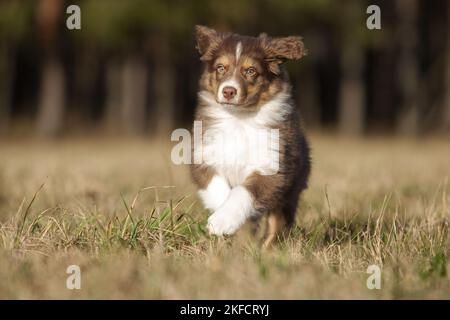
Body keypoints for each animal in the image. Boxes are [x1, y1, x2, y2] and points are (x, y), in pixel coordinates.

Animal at [189, 25, 310, 248]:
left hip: (291, 190)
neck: (239, 119)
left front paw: (222, 220)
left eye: (250, 71)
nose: (229, 91)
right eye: (221, 68)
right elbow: (218, 188)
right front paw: (228, 223)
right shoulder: (204, 156)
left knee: (278, 224)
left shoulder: (272, 166)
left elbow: (243, 193)